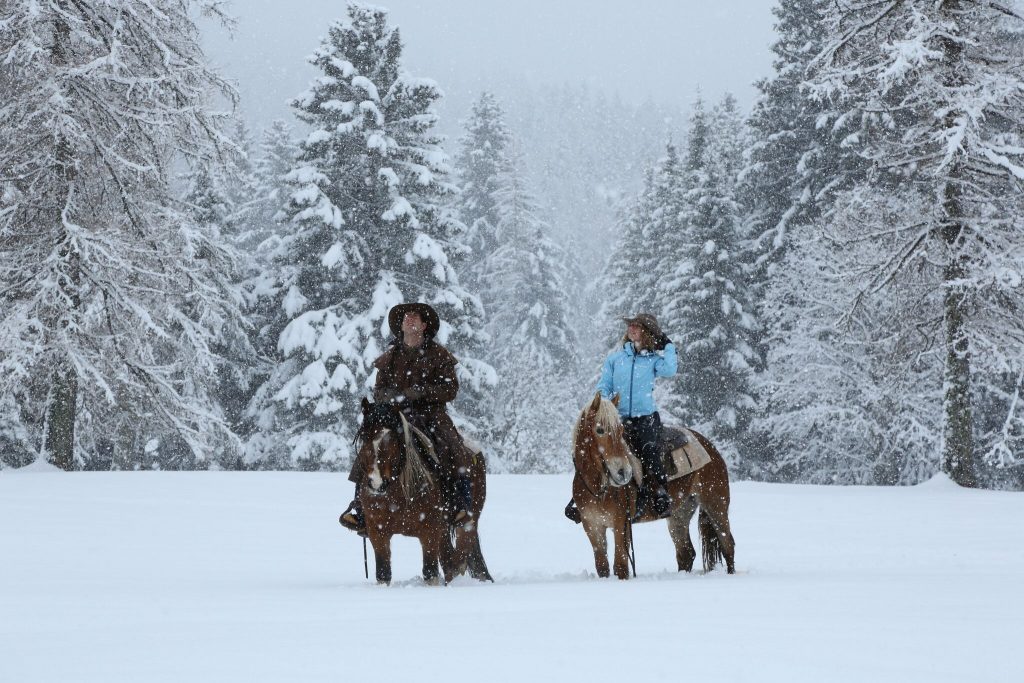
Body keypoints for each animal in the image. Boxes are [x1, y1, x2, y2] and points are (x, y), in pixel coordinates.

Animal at [356, 397, 491, 585]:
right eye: (364, 436)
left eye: (393, 438)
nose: (376, 484)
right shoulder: (378, 532)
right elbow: (383, 574)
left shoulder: (429, 532)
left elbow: (430, 573)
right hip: (444, 530)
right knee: (450, 562)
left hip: (468, 522)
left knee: (459, 557)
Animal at [569, 393, 737, 581]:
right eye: (600, 430)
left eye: (620, 431)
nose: (624, 472)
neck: (598, 488)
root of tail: (710, 447)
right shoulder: (592, 527)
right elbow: (602, 567)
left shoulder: (621, 524)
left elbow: (620, 567)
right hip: (680, 513)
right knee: (686, 553)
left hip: (716, 505)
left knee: (727, 544)